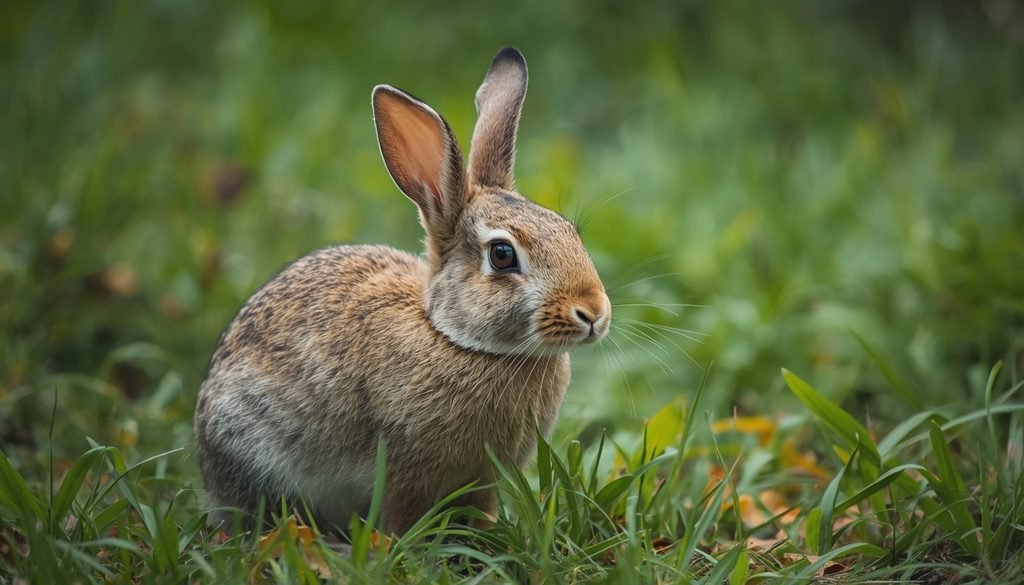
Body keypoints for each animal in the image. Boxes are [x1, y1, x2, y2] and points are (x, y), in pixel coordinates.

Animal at [194, 47, 611, 535]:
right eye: (503, 255)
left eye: (570, 231)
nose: (593, 312)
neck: (452, 337)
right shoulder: (403, 471)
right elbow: (401, 513)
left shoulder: (483, 479)